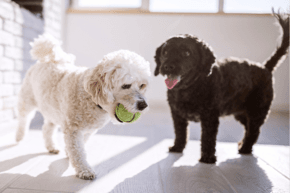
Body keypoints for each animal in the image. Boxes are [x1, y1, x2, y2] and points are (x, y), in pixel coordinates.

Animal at [15, 33, 151, 179]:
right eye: (126, 85)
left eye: (142, 85)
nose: (143, 105)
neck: (91, 98)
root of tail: (46, 60)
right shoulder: (73, 130)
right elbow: (78, 152)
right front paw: (85, 170)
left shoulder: (88, 131)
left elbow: (80, 146)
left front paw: (68, 153)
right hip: (27, 100)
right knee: (23, 118)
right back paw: (19, 136)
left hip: (53, 109)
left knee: (47, 128)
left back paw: (52, 146)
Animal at [153, 11, 288, 164]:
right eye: (165, 52)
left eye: (186, 53)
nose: (168, 66)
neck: (189, 88)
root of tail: (265, 67)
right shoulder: (177, 115)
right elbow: (180, 133)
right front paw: (177, 147)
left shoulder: (210, 117)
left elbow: (208, 138)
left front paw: (207, 158)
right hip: (241, 113)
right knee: (249, 129)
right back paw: (242, 144)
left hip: (257, 111)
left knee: (254, 131)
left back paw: (245, 149)